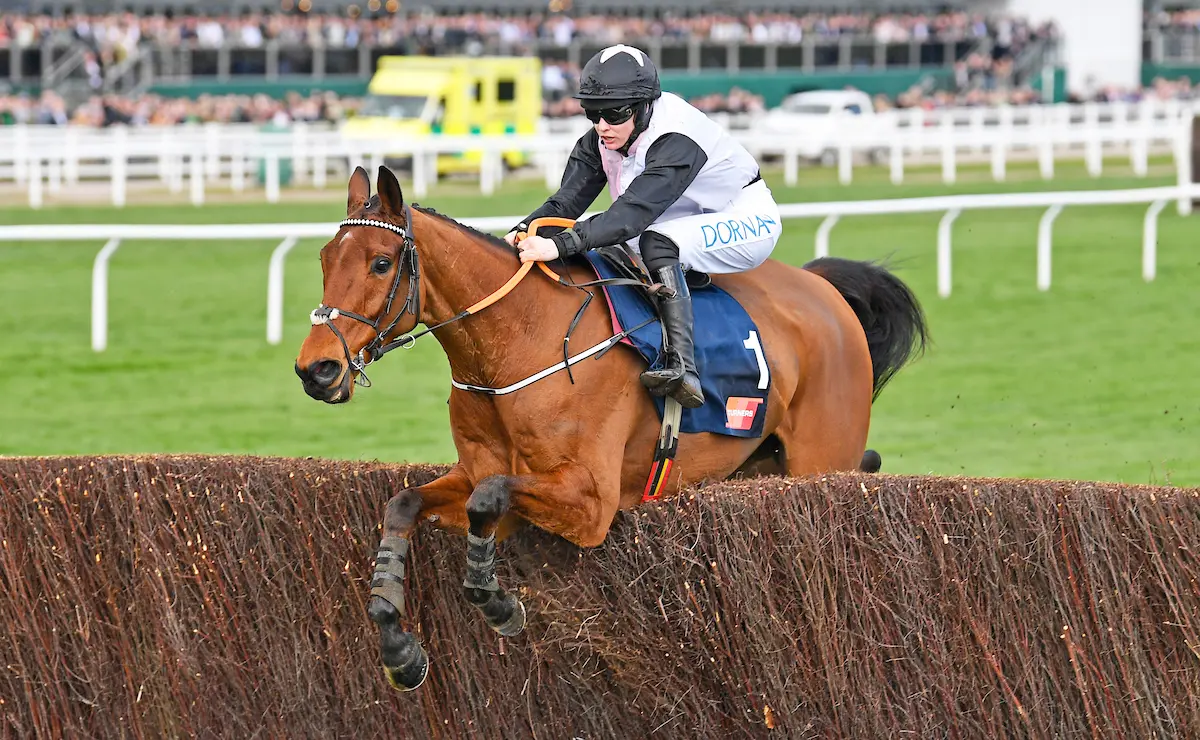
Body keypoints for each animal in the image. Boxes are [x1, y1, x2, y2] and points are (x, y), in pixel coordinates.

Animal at [294, 165, 928, 691]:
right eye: (324, 261)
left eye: (381, 262)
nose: (315, 369)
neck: (518, 343)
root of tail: (822, 289)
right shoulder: (483, 474)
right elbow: (406, 503)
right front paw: (398, 647)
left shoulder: (590, 504)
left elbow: (488, 498)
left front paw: (496, 603)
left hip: (820, 462)